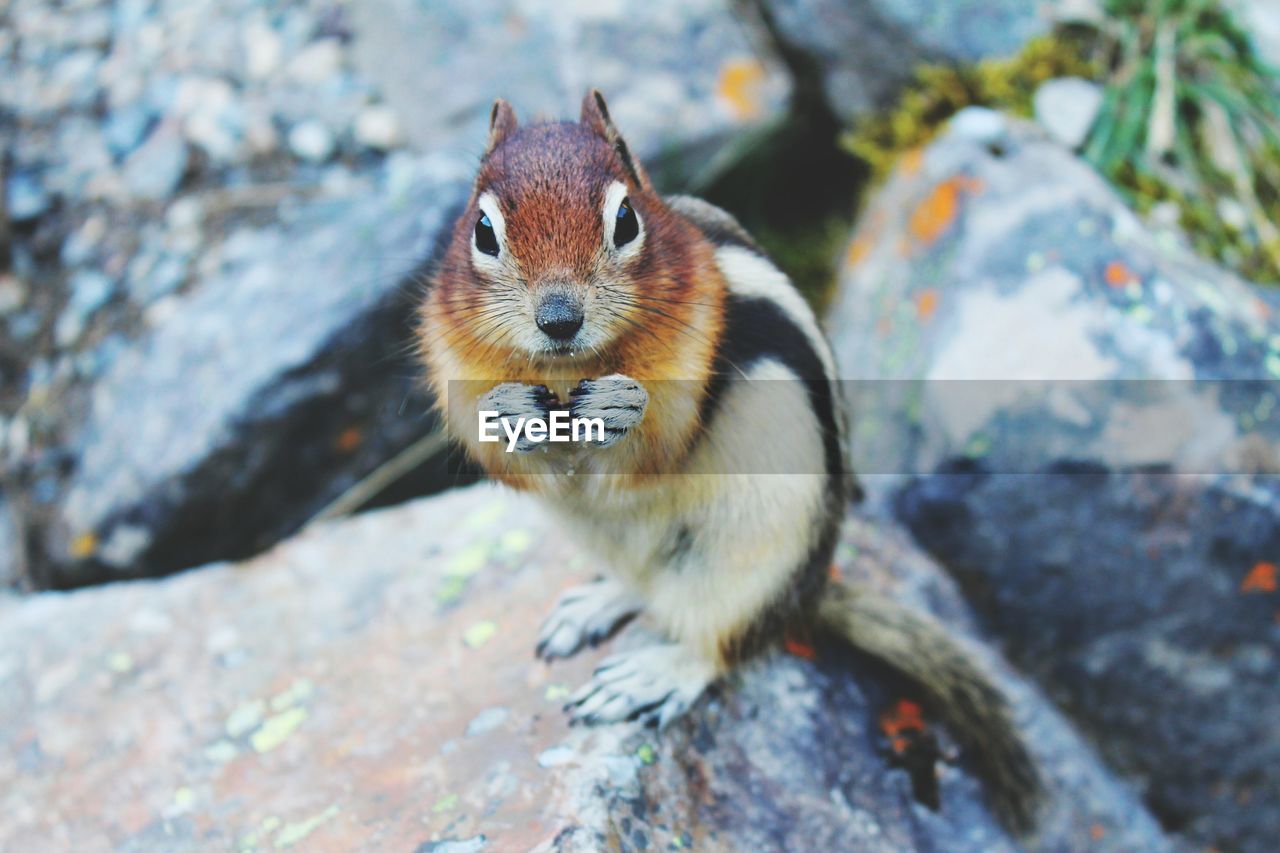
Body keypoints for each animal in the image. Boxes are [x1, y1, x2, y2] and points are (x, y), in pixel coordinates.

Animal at [417, 91, 1039, 829]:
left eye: (625, 220)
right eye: (483, 232)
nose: (559, 317)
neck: (569, 374)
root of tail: (806, 596)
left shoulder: (692, 359)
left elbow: (653, 446)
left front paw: (622, 406)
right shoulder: (454, 362)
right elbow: (495, 447)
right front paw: (510, 409)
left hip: (749, 565)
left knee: (721, 644)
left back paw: (652, 675)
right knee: (644, 587)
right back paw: (594, 603)